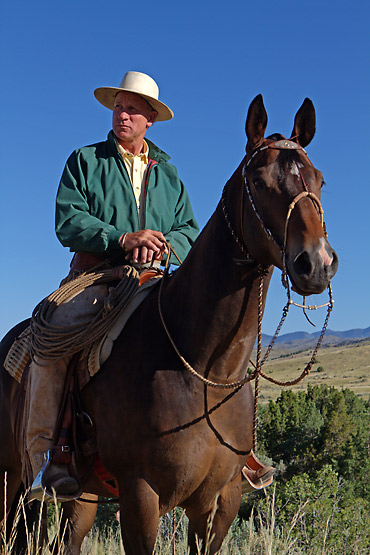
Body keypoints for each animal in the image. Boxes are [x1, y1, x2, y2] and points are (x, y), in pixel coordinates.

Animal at [0, 94, 336, 552]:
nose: (315, 264)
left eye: (319, 179)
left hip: (80, 499)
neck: (204, 370)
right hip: (10, 481)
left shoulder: (219, 502)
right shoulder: (140, 497)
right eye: (259, 180)